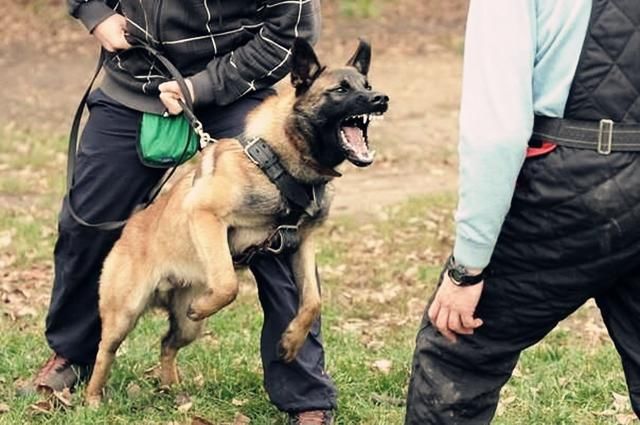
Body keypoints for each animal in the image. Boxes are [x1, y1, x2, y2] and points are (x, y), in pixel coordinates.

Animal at [85, 37, 390, 404]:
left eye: (367, 86)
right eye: (341, 89)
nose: (381, 99)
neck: (279, 160)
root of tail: (131, 225)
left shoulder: (301, 241)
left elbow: (313, 300)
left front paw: (291, 341)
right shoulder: (205, 214)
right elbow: (227, 284)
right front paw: (209, 305)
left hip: (186, 328)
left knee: (167, 343)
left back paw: (172, 387)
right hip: (124, 313)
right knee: (105, 351)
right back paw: (92, 398)